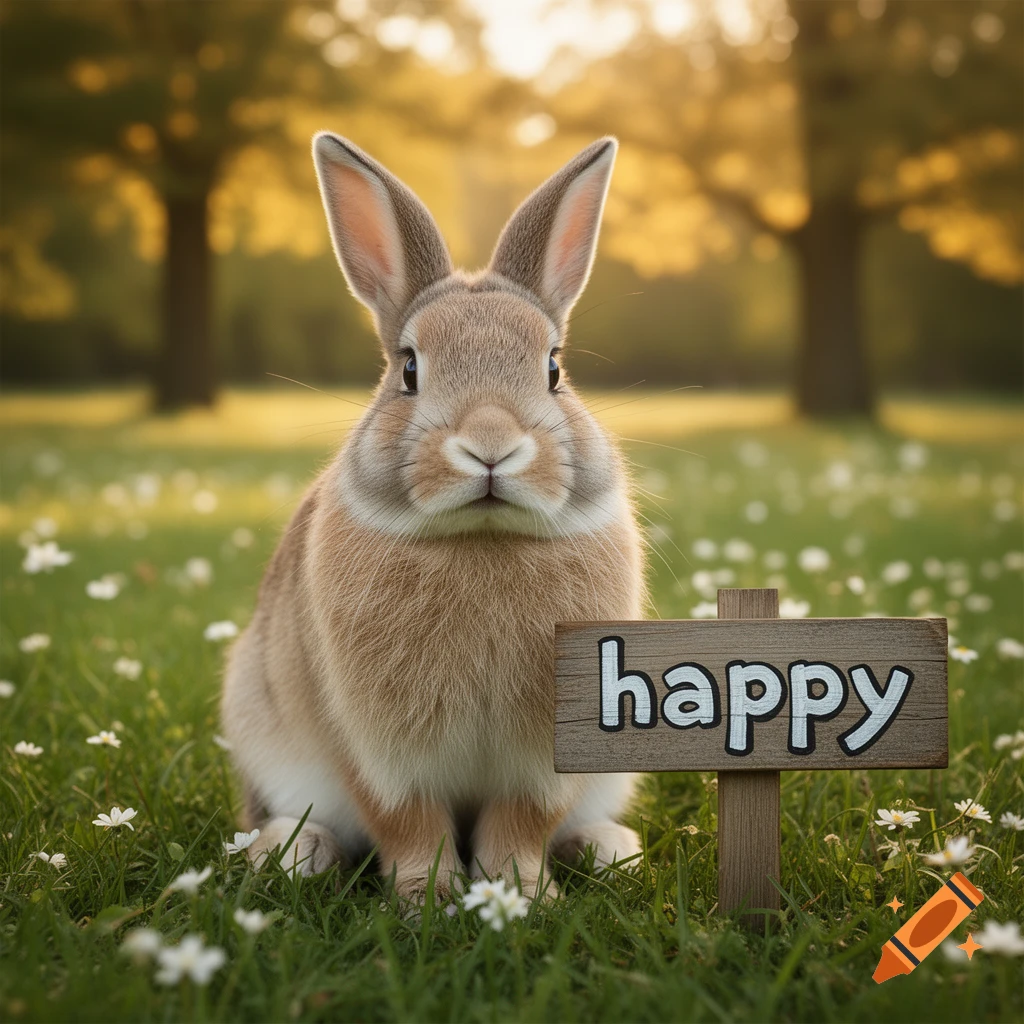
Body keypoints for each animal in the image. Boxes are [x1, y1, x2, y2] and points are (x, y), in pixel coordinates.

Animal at [221, 132, 647, 902]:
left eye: (554, 368)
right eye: (409, 369)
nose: (490, 446)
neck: (481, 539)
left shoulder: (542, 765)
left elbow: (521, 823)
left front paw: (520, 895)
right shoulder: (379, 754)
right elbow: (409, 824)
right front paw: (432, 900)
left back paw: (608, 847)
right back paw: (296, 855)